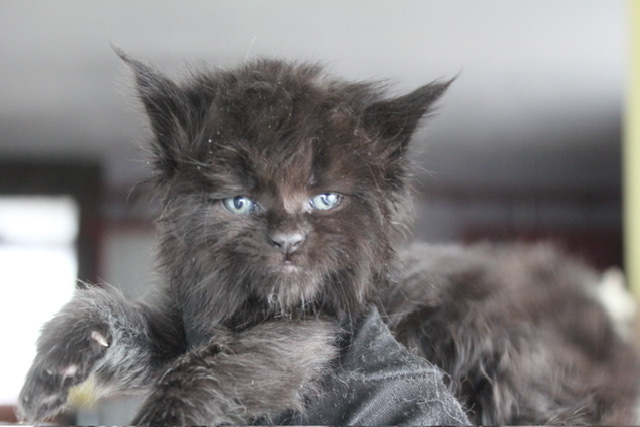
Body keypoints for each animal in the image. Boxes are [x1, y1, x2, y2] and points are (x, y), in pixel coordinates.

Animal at [17, 52, 639, 425]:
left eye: (325, 199)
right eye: (241, 201)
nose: (288, 238)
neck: (257, 309)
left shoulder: (310, 330)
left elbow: (211, 367)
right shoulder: (191, 320)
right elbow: (125, 318)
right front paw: (56, 366)